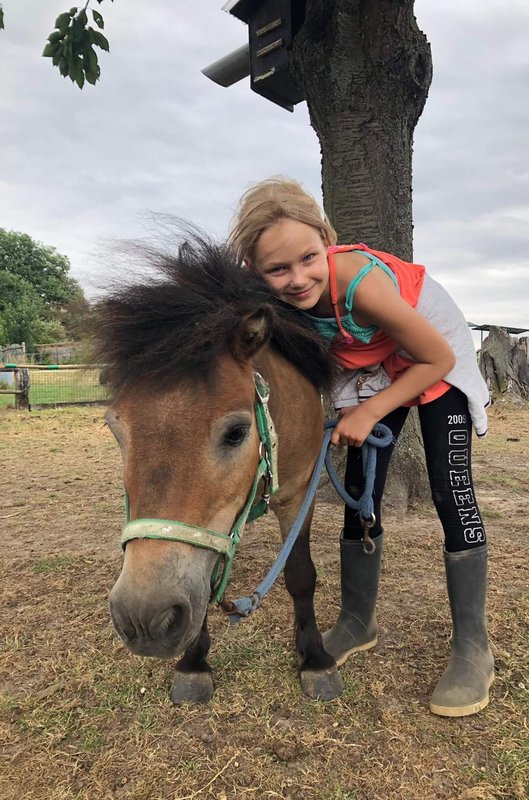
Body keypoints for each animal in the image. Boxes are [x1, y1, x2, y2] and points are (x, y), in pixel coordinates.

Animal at [94, 228, 342, 704]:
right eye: (115, 428)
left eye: (236, 432)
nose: (144, 618)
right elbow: (203, 583)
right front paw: (193, 663)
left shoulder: (300, 495)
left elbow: (301, 575)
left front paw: (315, 658)